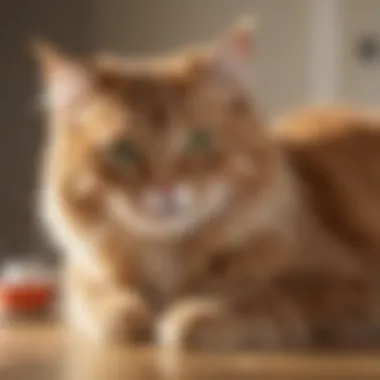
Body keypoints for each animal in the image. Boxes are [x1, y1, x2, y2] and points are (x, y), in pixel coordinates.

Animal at [35, 17, 380, 348]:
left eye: (199, 141)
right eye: (123, 150)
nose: (165, 188)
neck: (169, 260)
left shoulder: (351, 282)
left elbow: (266, 293)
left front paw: (197, 314)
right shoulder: (81, 276)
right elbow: (102, 306)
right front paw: (129, 313)